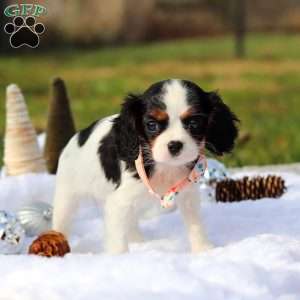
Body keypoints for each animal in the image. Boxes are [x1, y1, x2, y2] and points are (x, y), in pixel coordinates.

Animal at [52, 79, 238, 253]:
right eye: (152, 125)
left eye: (194, 123)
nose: (175, 145)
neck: (165, 167)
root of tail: (77, 136)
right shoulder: (118, 203)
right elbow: (118, 239)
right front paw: (119, 258)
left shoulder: (188, 195)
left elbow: (195, 223)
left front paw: (204, 249)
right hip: (67, 195)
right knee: (62, 220)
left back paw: (139, 242)